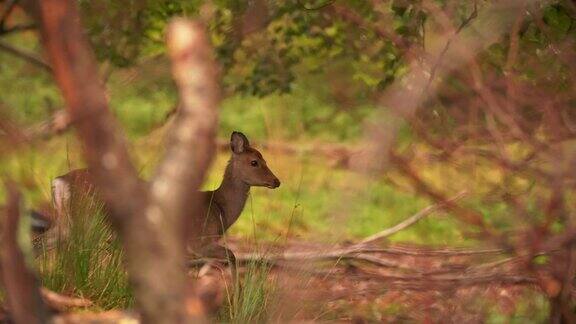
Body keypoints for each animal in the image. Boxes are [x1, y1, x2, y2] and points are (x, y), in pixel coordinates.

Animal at [33, 131, 282, 264]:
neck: (218, 209)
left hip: (66, 223)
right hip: (89, 222)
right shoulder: (197, 240)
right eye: (254, 162)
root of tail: (60, 182)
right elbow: (231, 257)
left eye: (266, 159)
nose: (276, 181)